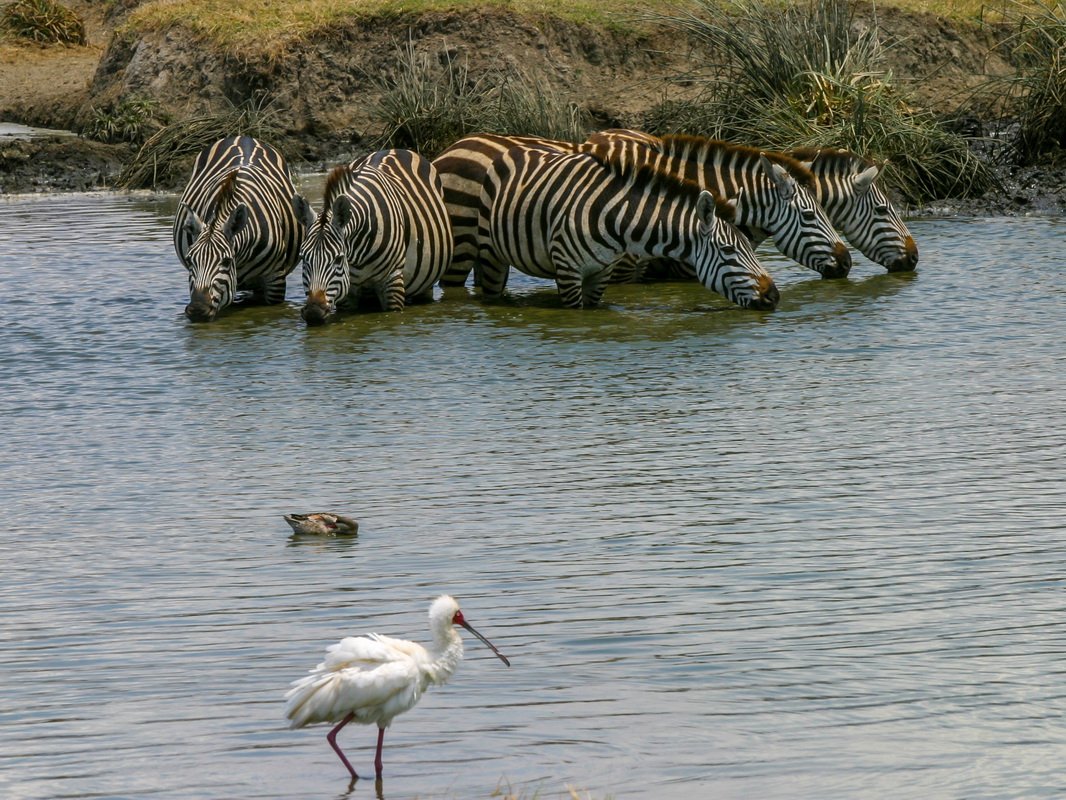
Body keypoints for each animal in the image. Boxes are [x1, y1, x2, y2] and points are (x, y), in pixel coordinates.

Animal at [170, 137, 304, 322]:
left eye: (226, 261)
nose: (197, 310)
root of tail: (242, 137)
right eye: (190, 260)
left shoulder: (275, 279)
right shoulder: (227, 288)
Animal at [292, 149, 454, 324]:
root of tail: (396, 149)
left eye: (338, 259)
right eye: (303, 257)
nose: (313, 313)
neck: (357, 255)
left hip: (426, 284)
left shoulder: (393, 279)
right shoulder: (346, 290)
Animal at [475, 142, 776, 309]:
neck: (615, 219)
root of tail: (513, 147)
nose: (774, 297)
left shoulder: (601, 272)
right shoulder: (568, 272)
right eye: (728, 251)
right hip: (490, 253)